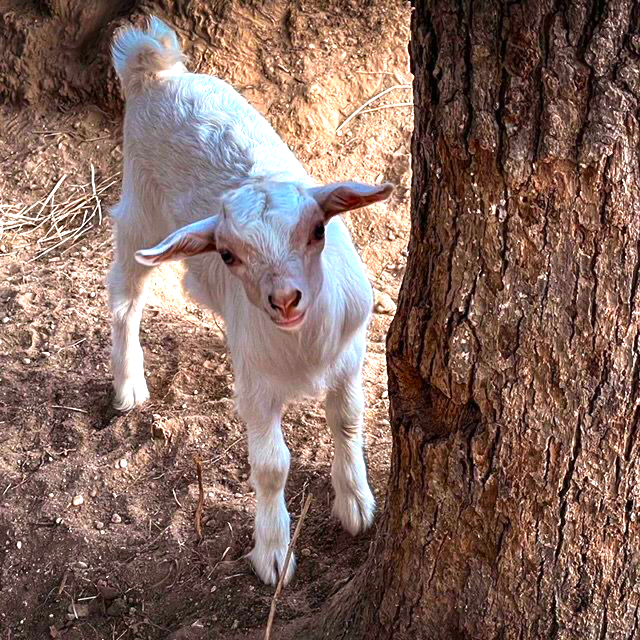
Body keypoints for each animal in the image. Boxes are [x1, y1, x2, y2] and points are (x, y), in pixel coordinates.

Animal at [108, 17, 393, 585]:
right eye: (228, 254)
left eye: (317, 230)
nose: (284, 299)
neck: (304, 348)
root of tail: (156, 72)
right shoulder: (257, 386)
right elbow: (271, 465)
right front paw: (274, 553)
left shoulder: (351, 357)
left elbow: (348, 420)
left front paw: (356, 504)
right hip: (141, 211)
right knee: (125, 296)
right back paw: (128, 383)